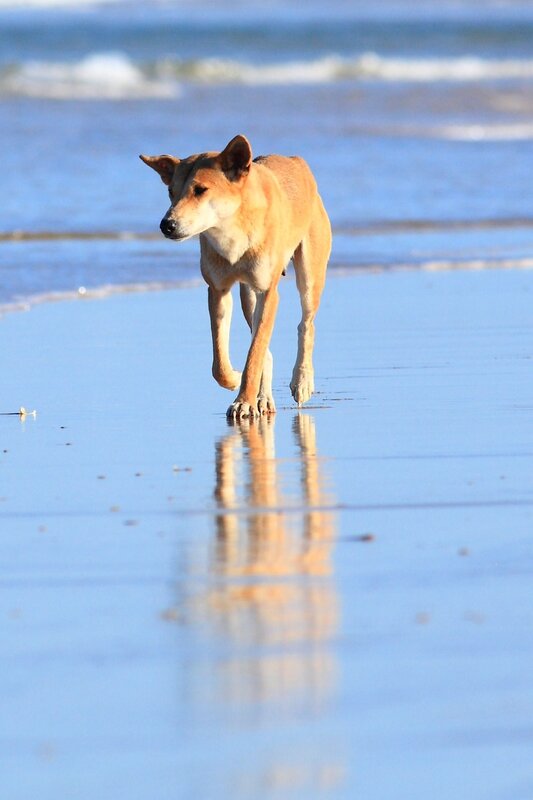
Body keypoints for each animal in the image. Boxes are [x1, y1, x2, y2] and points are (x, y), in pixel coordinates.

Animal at [140, 135, 331, 419]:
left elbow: (254, 354)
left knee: (306, 325)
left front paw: (243, 401)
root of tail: (296, 161)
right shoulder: (218, 290)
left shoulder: (268, 292)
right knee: (265, 348)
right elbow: (220, 361)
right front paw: (234, 379)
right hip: (246, 295)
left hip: (309, 275)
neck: (233, 232)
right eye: (171, 192)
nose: (167, 224)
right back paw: (264, 398)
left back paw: (302, 381)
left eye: (200, 190)